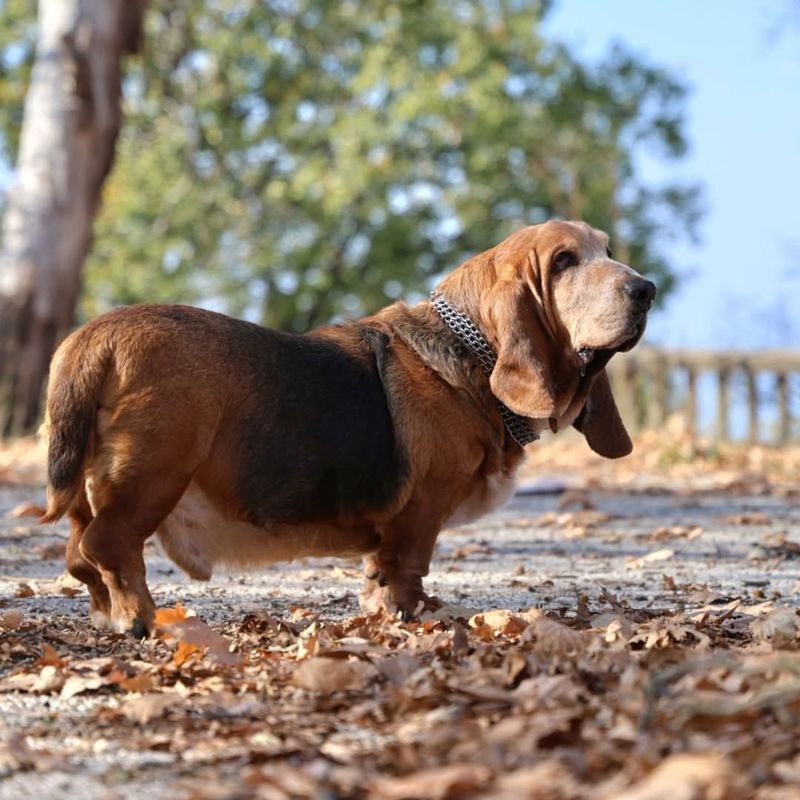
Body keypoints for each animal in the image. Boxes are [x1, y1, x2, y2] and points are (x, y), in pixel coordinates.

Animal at [40, 222, 656, 636]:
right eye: (563, 262)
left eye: (607, 252)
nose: (646, 289)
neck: (470, 351)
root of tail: (93, 336)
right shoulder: (422, 512)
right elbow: (407, 569)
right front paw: (409, 618)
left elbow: (379, 573)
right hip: (153, 476)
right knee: (109, 545)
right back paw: (138, 618)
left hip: (95, 490)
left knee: (78, 555)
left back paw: (105, 613)